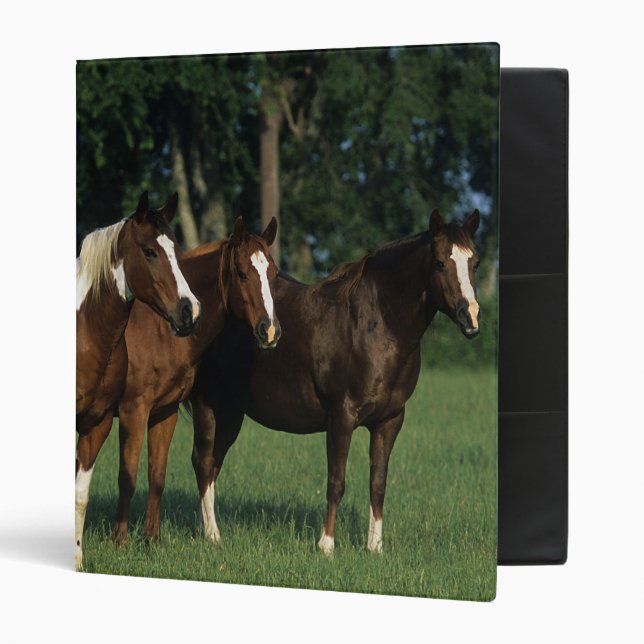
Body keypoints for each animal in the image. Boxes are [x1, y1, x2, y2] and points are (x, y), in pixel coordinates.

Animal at [111, 216, 281, 545]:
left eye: (274, 274)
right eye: (242, 274)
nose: (270, 331)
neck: (159, 328)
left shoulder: (164, 411)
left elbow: (156, 474)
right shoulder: (133, 411)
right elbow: (129, 476)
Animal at [189, 208, 481, 554]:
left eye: (474, 263)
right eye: (439, 262)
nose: (470, 316)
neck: (375, 325)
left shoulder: (390, 421)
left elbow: (378, 483)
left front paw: (374, 547)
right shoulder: (341, 417)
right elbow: (336, 481)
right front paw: (326, 545)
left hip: (231, 413)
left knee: (213, 465)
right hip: (208, 406)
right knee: (203, 462)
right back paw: (212, 534)